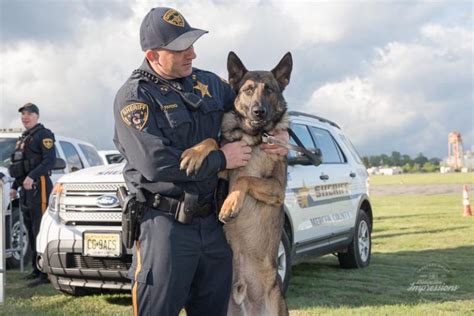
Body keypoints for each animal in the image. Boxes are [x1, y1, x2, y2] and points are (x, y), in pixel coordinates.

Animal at [181, 51, 292, 316]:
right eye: (248, 90)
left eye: (270, 90)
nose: (258, 111)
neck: (253, 138)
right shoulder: (223, 168)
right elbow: (214, 141)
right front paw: (195, 152)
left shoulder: (277, 189)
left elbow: (244, 177)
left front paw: (230, 205)